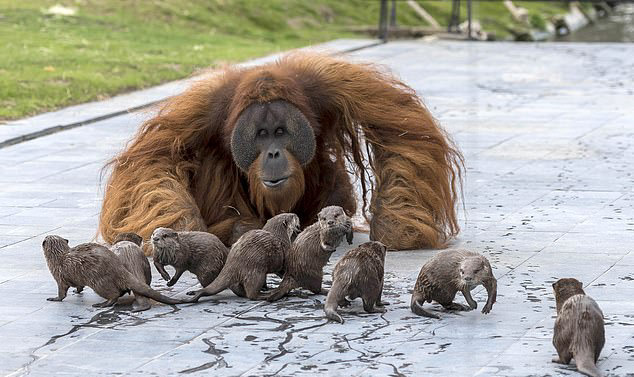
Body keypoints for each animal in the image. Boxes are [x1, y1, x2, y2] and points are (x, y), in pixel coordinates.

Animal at [42, 235, 183, 308]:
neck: (58, 257)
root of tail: (119, 268)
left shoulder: (59, 276)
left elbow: (62, 292)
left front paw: (55, 298)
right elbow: (79, 286)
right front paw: (77, 291)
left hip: (98, 282)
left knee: (113, 295)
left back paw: (102, 304)